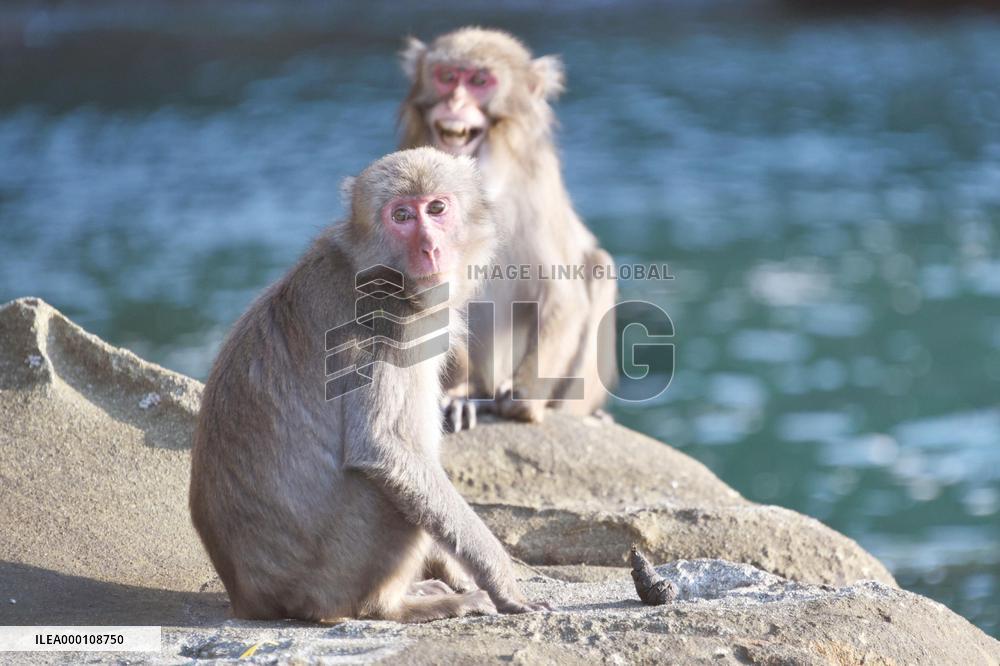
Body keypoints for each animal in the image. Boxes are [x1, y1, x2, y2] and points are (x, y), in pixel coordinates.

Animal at [189, 148, 548, 623]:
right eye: (401, 216)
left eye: (436, 208)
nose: (430, 248)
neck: (374, 265)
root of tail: (250, 596)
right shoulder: (391, 322)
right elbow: (382, 448)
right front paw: (500, 579)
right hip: (334, 572)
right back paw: (399, 606)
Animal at [399, 28, 619, 432]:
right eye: (447, 76)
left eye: (480, 81)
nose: (455, 100)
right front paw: (462, 392)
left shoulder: (537, 190)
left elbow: (563, 295)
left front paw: (523, 398)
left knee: (599, 265)